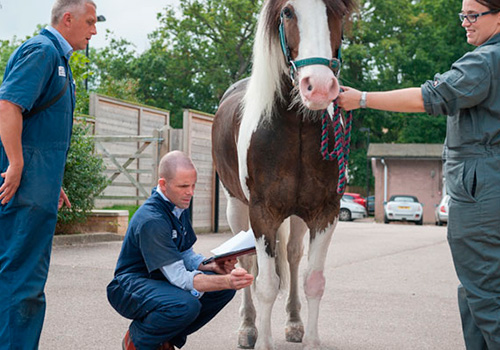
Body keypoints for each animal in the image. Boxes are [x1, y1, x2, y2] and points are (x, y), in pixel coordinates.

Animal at [212, 0, 356, 350]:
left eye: (338, 11)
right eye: (288, 12)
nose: (318, 87)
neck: (298, 127)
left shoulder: (324, 213)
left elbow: (312, 280)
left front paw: (311, 340)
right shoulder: (262, 213)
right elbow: (265, 284)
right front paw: (261, 340)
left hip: (296, 217)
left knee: (291, 257)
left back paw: (293, 322)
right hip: (236, 208)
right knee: (247, 266)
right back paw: (248, 328)